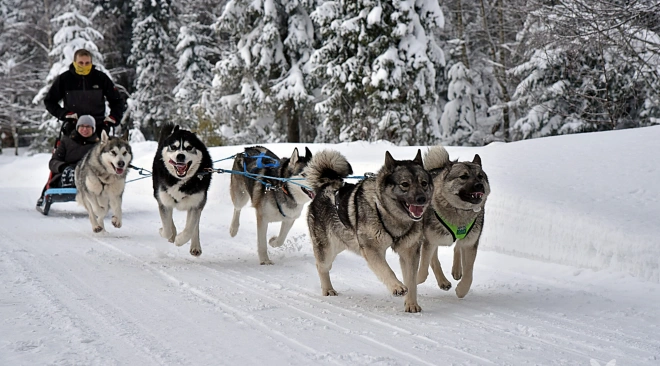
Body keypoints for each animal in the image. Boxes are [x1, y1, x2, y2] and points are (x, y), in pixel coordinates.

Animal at [151, 124, 211, 256]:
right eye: (174, 147)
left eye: (189, 147)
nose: (180, 155)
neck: (180, 181)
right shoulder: (164, 201)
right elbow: (167, 228)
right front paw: (165, 232)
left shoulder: (196, 204)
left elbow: (190, 229)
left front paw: (179, 240)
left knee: (194, 226)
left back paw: (195, 246)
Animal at [304, 150, 434, 314]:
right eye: (405, 184)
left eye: (424, 183)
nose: (422, 199)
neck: (390, 215)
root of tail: (326, 187)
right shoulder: (372, 250)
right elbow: (387, 270)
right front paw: (397, 287)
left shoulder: (409, 253)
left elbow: (411, 281)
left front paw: (411, 304)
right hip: (327, 250)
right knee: (321, 267)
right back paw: (327, 289)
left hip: (343, 243)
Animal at [418, 144, 490, 298]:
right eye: (463, 176)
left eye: (480, 176)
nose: (479, 185)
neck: (459, 211)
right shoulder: (429, 241)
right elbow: (423, 270)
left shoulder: (470, 244)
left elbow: (469, 274)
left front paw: (461, 290)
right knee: (434, 259)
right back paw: (443, 280)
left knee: (457, 247)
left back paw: (455, 272)